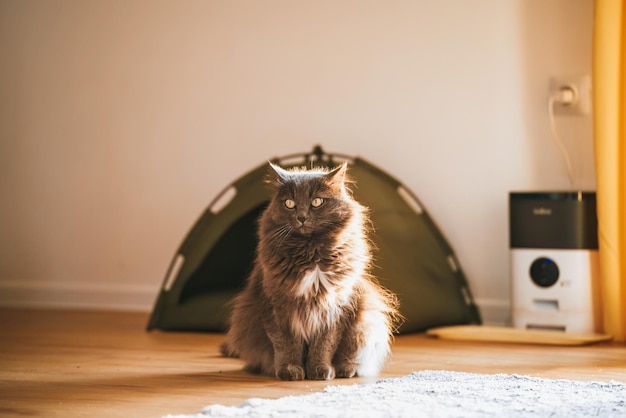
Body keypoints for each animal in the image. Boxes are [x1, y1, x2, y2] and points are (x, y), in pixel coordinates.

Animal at [219, 162, 398, 380]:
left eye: (317, 202)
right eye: (289, 203)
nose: (302, 217)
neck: (310, 252)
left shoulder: (336, 307)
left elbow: (324, 345)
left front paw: (320, 370)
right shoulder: (276, 306)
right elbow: (286, 344)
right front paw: (290, 370)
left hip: (365, 323)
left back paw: (345, 370)